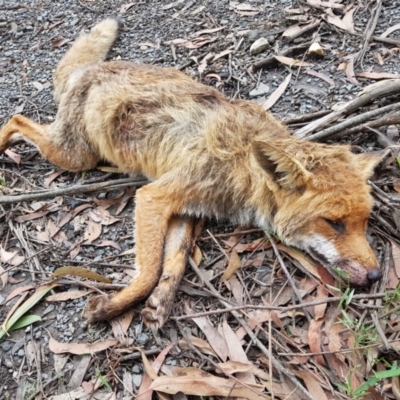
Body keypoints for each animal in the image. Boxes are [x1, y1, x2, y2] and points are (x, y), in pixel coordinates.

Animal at [0, 18, 388, 328]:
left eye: (364, 222)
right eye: (334, 224)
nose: (376, 275)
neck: (240, 166)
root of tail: (95, 68)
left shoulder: (184, 208)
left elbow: (174, 260)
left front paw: (160, 303)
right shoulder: (154, 196)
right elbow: (149, 270)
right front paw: (115, 306)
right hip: (75, 156)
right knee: (17, 118)